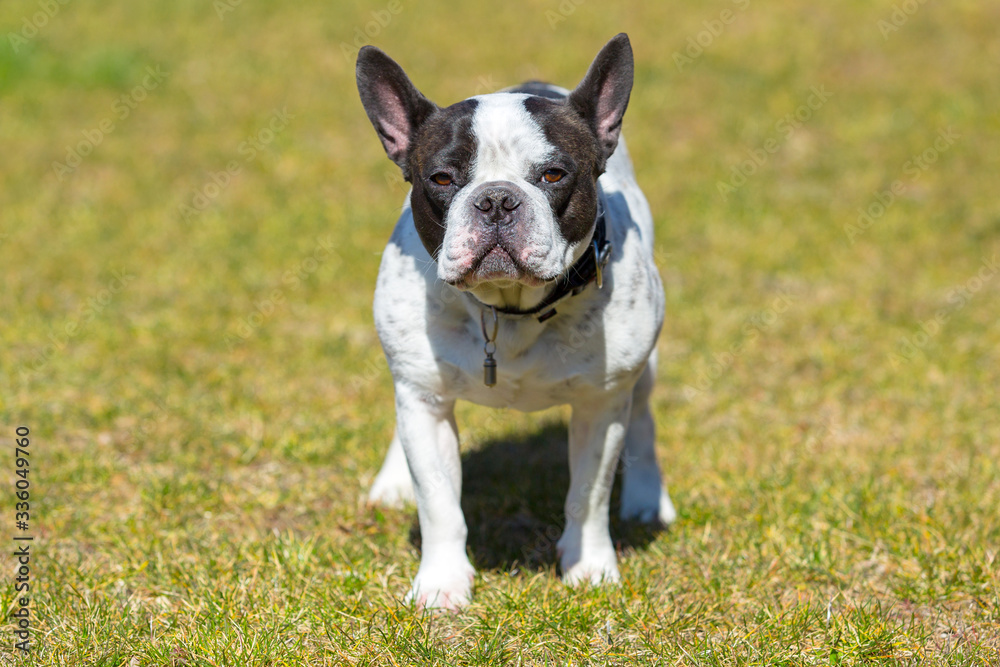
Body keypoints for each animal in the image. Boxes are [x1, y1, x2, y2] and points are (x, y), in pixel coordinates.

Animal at [356, 35, 676, 612]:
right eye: (441, 178)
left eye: (553, 175)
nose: (496, 199)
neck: (508, 309)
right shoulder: (425, 406)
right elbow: (439, 503)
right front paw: (441, 584)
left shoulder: (600, 407)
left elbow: (588, 495)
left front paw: (588, 567)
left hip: (640, 372)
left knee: (641, 419)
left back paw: (645, 497)